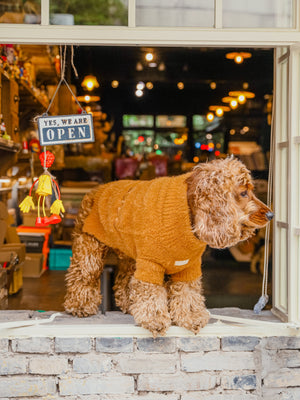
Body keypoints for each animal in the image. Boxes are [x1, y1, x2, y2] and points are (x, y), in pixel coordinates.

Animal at [64, 158, 274, 336]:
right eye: (243, 192)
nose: (271, 214)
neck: (190, 216)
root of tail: (94, 190)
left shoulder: (188, 267)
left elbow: (187, 293)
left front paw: (191, 317)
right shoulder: (150, 264)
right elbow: (150, 292)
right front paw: (155, 319)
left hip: (130, 255)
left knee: (123, 280)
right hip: (89, 246)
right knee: (83, 274)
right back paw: (80, 306)